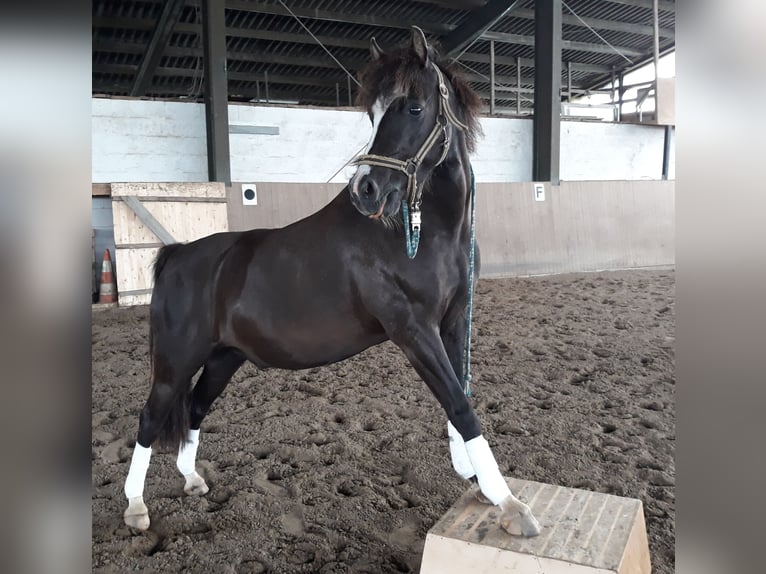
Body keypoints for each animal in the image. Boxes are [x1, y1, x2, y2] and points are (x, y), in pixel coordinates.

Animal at [123, 27, 544, 540]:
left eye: (413, 107)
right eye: (373, 113)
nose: (365, 189)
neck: (425, 236)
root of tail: (178, 254)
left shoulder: (455, 319)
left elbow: (458, 398)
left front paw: (478, 483)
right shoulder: (413, 330)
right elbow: (461, 406)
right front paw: (509, 503)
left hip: (224, 358)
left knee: (196, 410)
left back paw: (192, 481)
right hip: (175, 360)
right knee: (150, 417)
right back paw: (135, 507)